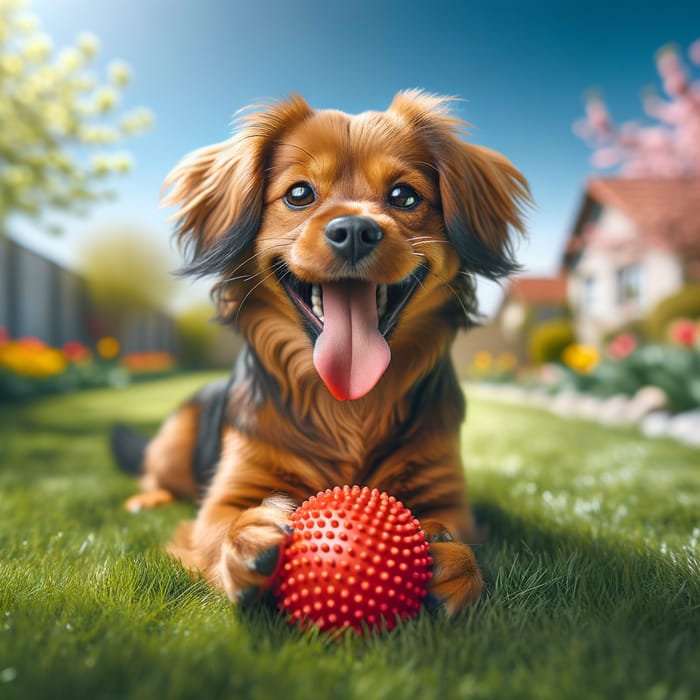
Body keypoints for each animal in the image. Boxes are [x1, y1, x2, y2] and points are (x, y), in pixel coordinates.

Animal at [113, 90, 532, 616]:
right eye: (299, 194)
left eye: (404, 196)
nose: (354, 230)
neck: (347, 403)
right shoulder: (227, 495)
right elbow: (218, 525)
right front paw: (245, 541)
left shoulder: (449, 497)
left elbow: (462, 536)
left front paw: (454, 563)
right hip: (174, 439)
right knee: (156, 478)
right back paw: (146, 500)